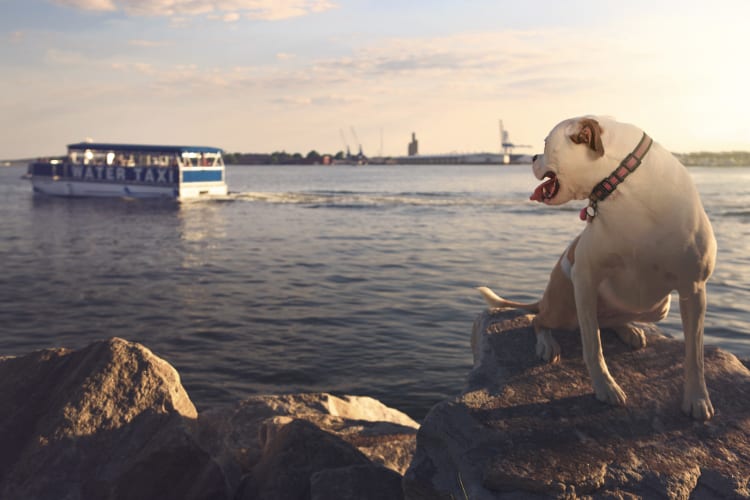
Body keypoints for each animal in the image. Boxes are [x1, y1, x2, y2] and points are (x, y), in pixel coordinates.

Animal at [478, 115, 720, 420]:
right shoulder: (585, 276)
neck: (624, 185)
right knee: (539, 320)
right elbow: (593, 345)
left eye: (545, 144)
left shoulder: (694, 288)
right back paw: (547, 343)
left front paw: (698, 398)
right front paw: (606, 387)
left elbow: (695, 354)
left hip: (657, 308)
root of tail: (545, 299)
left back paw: (628, 329)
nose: (532, 157)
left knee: (610, 319)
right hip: (565, 308)